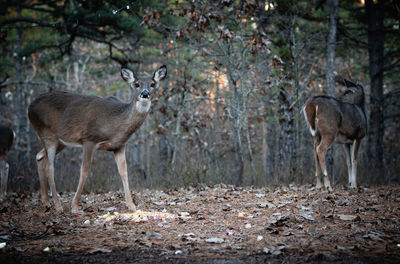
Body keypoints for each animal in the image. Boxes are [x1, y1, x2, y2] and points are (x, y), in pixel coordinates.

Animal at [28, 65, 167, 213]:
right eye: (136, 84)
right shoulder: (89, 139)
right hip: (47, 132)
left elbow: (124, 171)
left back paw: (46, 202)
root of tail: (30, 107)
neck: (116, 124)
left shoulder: (119, 145)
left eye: (153, 84)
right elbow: (84, 170)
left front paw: (131, 205)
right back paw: (58, 206)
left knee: (40, 157)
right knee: (50, 167)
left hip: (61, 141)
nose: (145, 94)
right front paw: (75, 206)